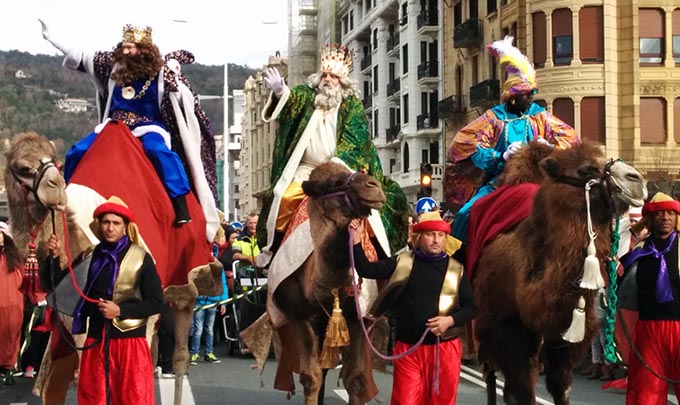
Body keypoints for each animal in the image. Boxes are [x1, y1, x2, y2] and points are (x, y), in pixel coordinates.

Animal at [5, 129, 223, 404]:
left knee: (180, 355)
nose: (56, 188)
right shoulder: (66, 326)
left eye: (56, 162)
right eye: (22, 167)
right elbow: (59, 382)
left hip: (186, 283)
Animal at [266, 160, 388, 404]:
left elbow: (356, 379)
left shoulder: (358, 317)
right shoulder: (297, 314)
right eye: (334, 183)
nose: (374, 186)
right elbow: (310, 377)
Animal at [468, 140, 648, 404]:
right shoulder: (506, 331)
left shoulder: (563, 340)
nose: (637, 180)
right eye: (586, 169)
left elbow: (560, 388)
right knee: (492, 377)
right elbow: (523, 392)